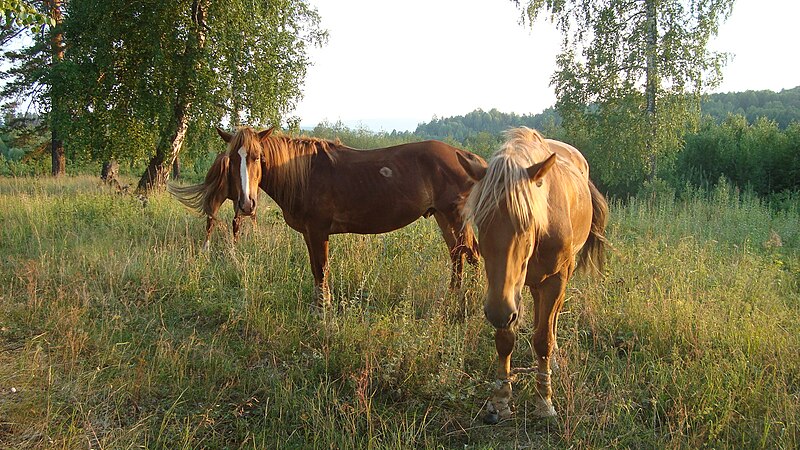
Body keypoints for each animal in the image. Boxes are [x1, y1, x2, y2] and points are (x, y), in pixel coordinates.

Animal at [173, 126, 484, 306]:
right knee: (458, 255)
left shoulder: (319, 230)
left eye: (257, 157)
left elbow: (321, 270)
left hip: (455, 217)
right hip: (443, 217)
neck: (303, 174)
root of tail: (466, 156)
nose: (247, 204)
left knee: (471, 255)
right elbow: (315, 269)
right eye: (230, 160)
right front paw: (318, 306)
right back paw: (453, 298)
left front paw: (324, 310)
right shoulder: (310, 234)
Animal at [456, 125, 608, 422]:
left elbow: (543, 339)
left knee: (552, 319)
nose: (499, 313)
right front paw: (502, 399)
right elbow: (505, 340)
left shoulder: (554, 280)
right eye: (480, 221)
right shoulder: (503, 293)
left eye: (527, 223)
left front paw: (544, 401)